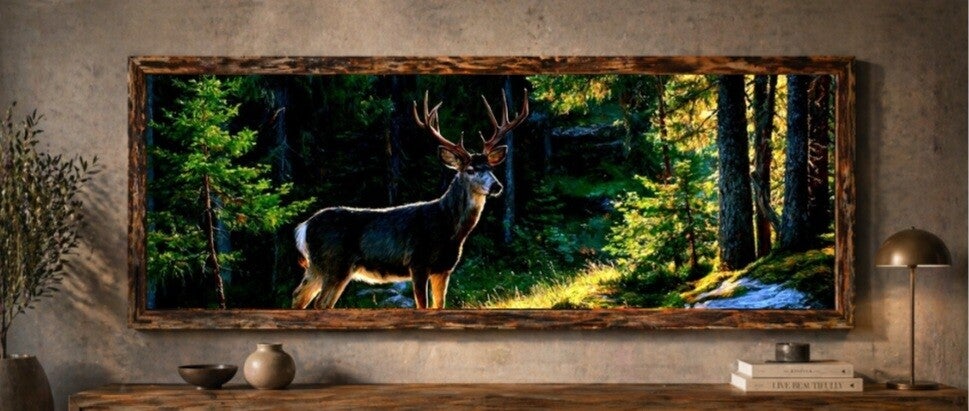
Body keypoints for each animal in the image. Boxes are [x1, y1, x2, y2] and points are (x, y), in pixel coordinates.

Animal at [291, 89, 529, 309]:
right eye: (470, 170)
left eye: (491, 168)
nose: (497, 186)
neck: (447, 227)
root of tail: (304, 226)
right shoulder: (418, 262)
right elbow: (422, 306)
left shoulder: (444, 269)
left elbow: (439, 306)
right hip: (335, 263)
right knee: (320, 303)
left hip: (316, 267)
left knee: (298, 297)